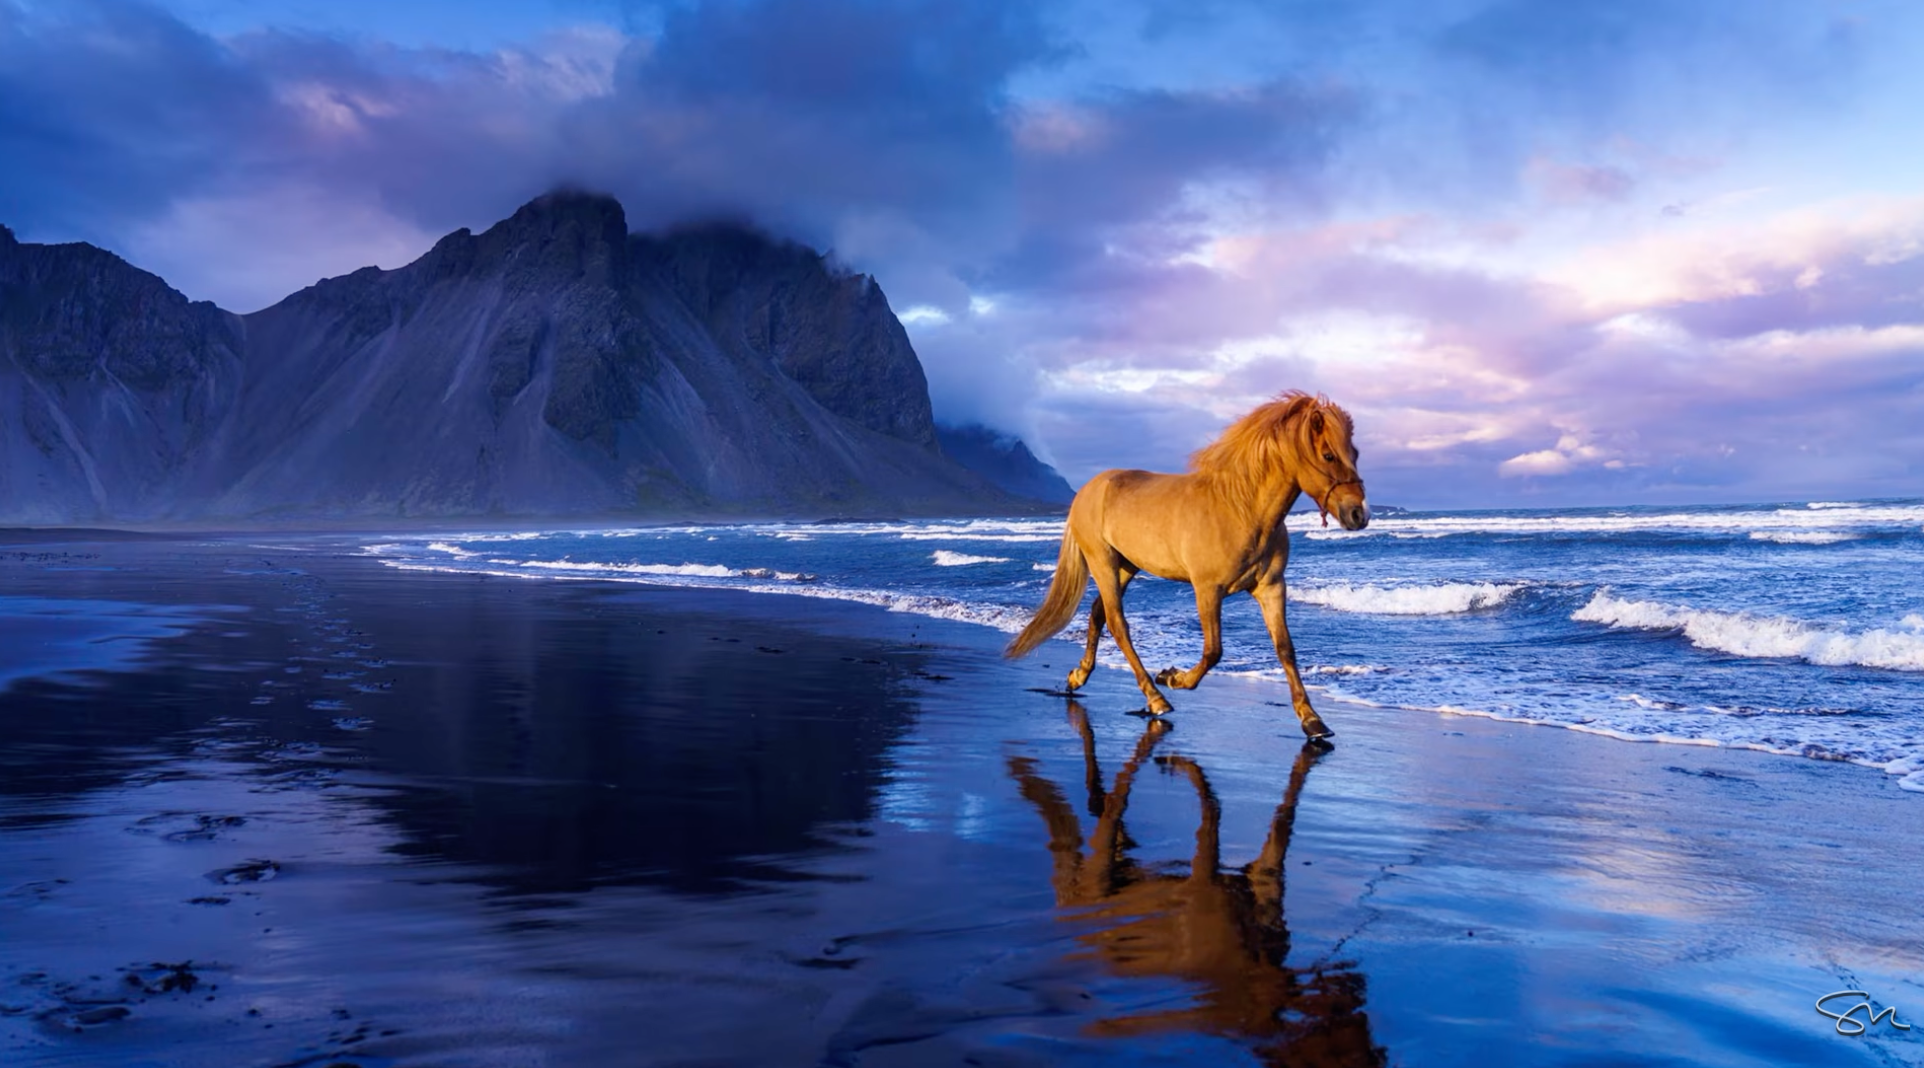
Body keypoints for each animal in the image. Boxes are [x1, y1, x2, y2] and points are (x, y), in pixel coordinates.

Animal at [1005, 391, 1367, 738]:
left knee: (1098, 614)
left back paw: (1078, 677)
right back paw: (1155, 697)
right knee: (1118, 624)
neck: (1241, 510)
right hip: (1102, 562)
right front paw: (1172, 677)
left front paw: (1312, 720)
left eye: (1355, 453)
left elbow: (1285, 649)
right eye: (1328, 455)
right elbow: (1213, 650)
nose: (1358, 515)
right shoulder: (1207, 589)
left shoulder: (1272, 588)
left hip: (1126, 566)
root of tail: (1086, 490)